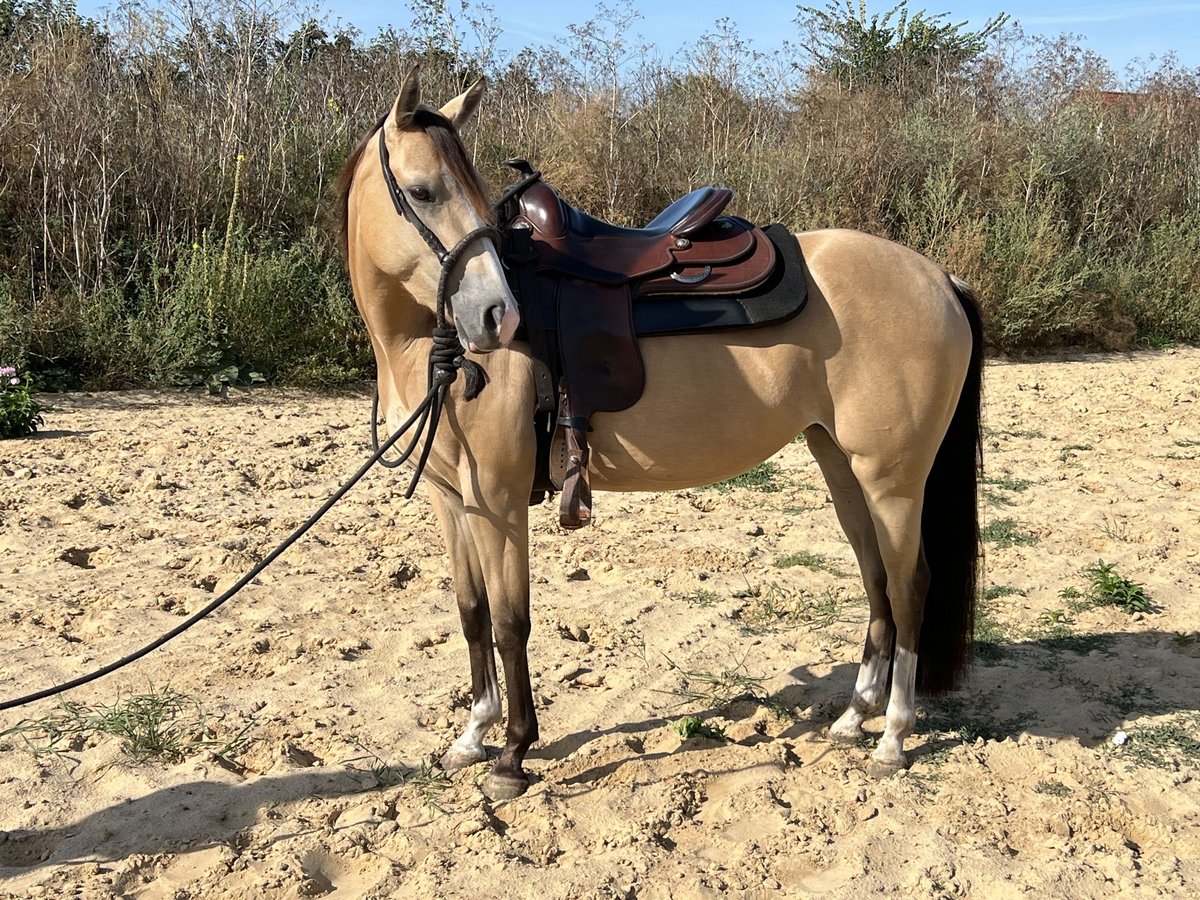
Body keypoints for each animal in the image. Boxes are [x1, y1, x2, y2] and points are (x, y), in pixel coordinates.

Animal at [338, 72, 984, 801]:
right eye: (423, 192)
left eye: (471, 192)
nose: (496, 315)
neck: (425, 342)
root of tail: (940, 278)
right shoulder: (453, 500)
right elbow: (472, 612)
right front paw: (473, 734)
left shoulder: (498, 502)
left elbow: (509, 622)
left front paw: (512, 754)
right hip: (844, 468)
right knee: (875, 577)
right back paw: (853, 719)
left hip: (893, 478)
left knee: (909, 586)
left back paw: (894, 736)